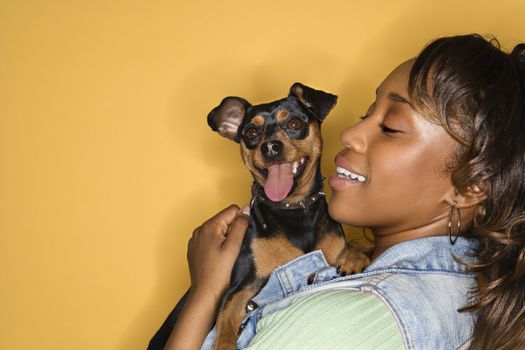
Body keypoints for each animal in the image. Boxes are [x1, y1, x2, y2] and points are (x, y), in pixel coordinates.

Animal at [145, 82, 370, 350]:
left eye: (295, 123)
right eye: (251, 132)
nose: (270, 146)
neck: (293, 209)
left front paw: (354, 258)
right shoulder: (241, 287)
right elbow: (226, 326)